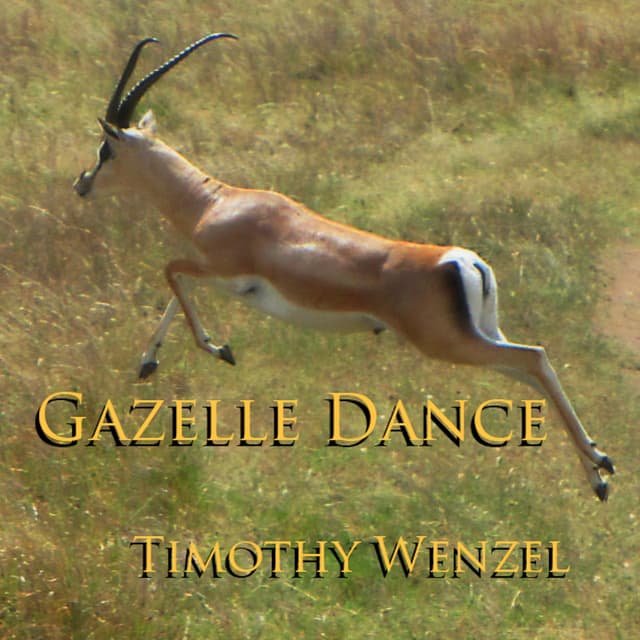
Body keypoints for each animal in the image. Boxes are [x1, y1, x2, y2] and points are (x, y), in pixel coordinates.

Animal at [74, 33, 614, 500]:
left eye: (105, 149)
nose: (81, 183)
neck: (215, 202)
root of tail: (464, 261)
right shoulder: (221, 277)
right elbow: (175, 289)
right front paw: (151, 362)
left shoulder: (223, 272)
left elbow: (170, 273)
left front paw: (217, 349)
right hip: (481, 335)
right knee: (531, 370)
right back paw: (598, 471)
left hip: (449, 343)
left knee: (534, 358)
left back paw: (601, 470)